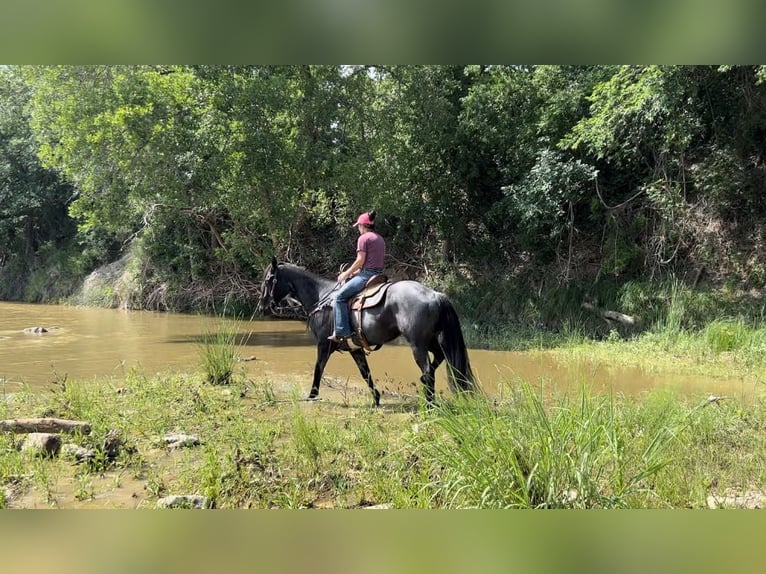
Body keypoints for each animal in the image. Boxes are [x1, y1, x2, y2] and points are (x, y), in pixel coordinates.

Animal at [260, 258, 480, 408]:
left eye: (269, 280)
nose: (262, 305)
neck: (321, 297)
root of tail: (434, 294)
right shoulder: (355, 348)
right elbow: (365, 373)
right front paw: (376, 398)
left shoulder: (324, 344)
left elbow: (318, 368)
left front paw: (312, 395)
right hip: (431, 341)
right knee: (438, 360)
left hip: (417, 344)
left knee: (427, 369)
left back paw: (428, 403)